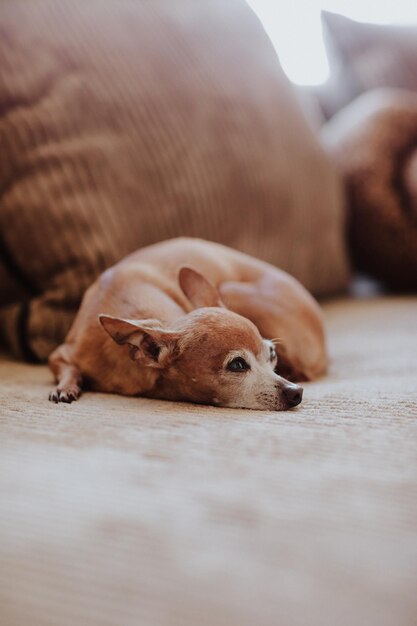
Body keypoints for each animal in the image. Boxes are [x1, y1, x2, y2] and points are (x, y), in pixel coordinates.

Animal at [48, 238, 326, 410]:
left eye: (272, 354)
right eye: (237, 365)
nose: (296, 392)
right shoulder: (60, 355)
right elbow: (70, 369)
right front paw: (66, 387)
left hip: (230, 290)